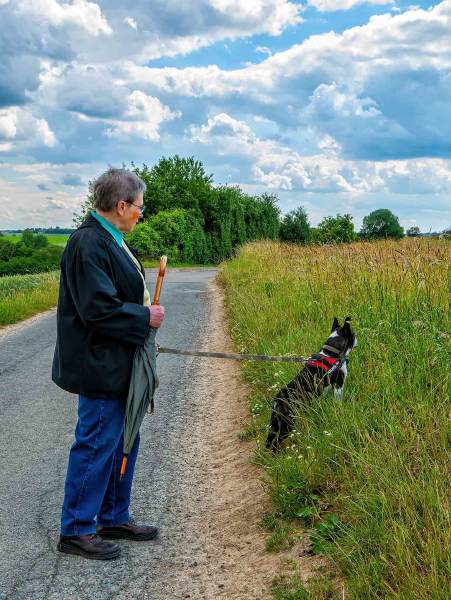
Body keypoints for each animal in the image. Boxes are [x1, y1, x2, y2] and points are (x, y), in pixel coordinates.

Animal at [266, 318, 358, 450]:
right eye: (353, 334)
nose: (357, 338)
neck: (331, 353)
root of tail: (277, 400)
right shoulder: (338, 384)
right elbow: (338, 400)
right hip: (287, 423)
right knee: (276, 441)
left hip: (276, 423)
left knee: (269, 440)